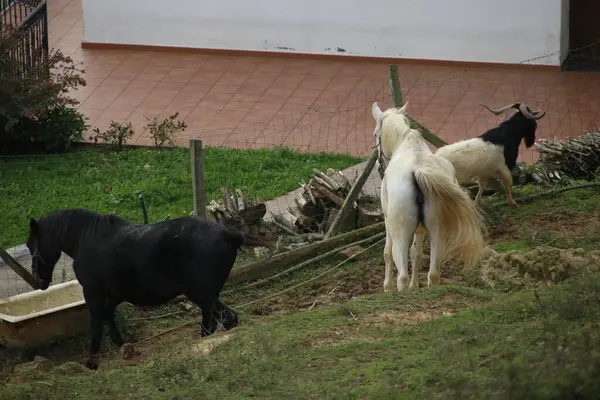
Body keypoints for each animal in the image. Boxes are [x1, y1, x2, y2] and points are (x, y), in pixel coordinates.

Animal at [26, 208, 272, 370]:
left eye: (30, 245)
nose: (39, 280)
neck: (85, 239)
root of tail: (228, 234)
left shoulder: (93, 293)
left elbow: (95, 326)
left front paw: (91, 362)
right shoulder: (116, 294)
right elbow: (108, 315)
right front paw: (122, 344)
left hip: (201, 293)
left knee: (225, 319)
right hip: (207, 295)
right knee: (216, 321)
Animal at [376, 101, 488, 290]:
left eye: (376, 134)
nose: (379, 166)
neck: (407, 145)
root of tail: (418, 171)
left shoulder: (386, 220)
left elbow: (387, 253)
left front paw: (387, 287)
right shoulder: (421, 229)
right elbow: (416, 253)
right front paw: (415, 286)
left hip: (401, 235)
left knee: (402, 276)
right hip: (438, 233)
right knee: (434, 274)